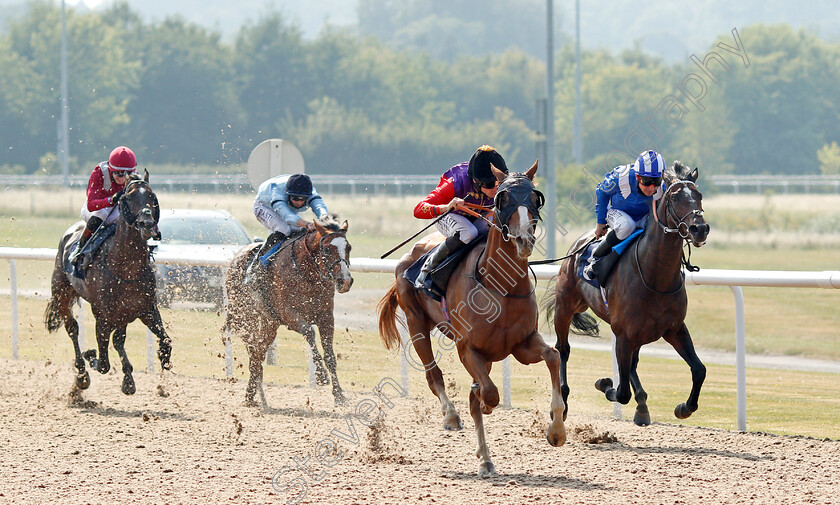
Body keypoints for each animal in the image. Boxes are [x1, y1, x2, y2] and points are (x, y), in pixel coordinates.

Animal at [46, 171, 172, 396]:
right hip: (61, 294)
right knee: (73, 328)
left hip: (123, 313)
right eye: (127, 198)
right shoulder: (102, 316)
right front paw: (90, 356)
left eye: (152, 196)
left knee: (118, 339)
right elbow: (103, 362)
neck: (127, 269)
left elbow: (166, 343)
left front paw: (158, 380)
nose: (147, 224)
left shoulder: (145, 308)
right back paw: (82, 375)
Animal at [221, 213, 352, 406]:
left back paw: (252, 396)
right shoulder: (289, 315)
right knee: (253, 351)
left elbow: (330, 356)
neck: (307, 274)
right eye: (327, 249)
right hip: (246, 317)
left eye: (348, 248)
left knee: (258, 354)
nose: (345, 281)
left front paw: (339, 395)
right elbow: (309, 333)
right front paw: (320, 375)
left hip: (269, 324)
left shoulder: (326, 318)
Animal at [378, 161, 564, 476]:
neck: (501, 287)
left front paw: (556, 430)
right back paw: (451, 417)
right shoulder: (468, 348)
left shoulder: (523, 344)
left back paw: (485, 457)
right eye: (503, 198)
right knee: (433, 374)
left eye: (534, 197)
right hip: (416, 323)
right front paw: (481, 403)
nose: (524, 240)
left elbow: (552, 356)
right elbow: (488, 394)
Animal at [544, 162, 708, 426]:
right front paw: (604, 383)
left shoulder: (674, 328)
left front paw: (684, 407)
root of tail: (579, 244)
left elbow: (699, 369)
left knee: (633, 364)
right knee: (563, 349)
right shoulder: (622, 334)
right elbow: (620, 392)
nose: (699, 228)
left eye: (699, 195)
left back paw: (642, 407)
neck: (655, 276)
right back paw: (563, 401)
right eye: (674, 197)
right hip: (565, 306)